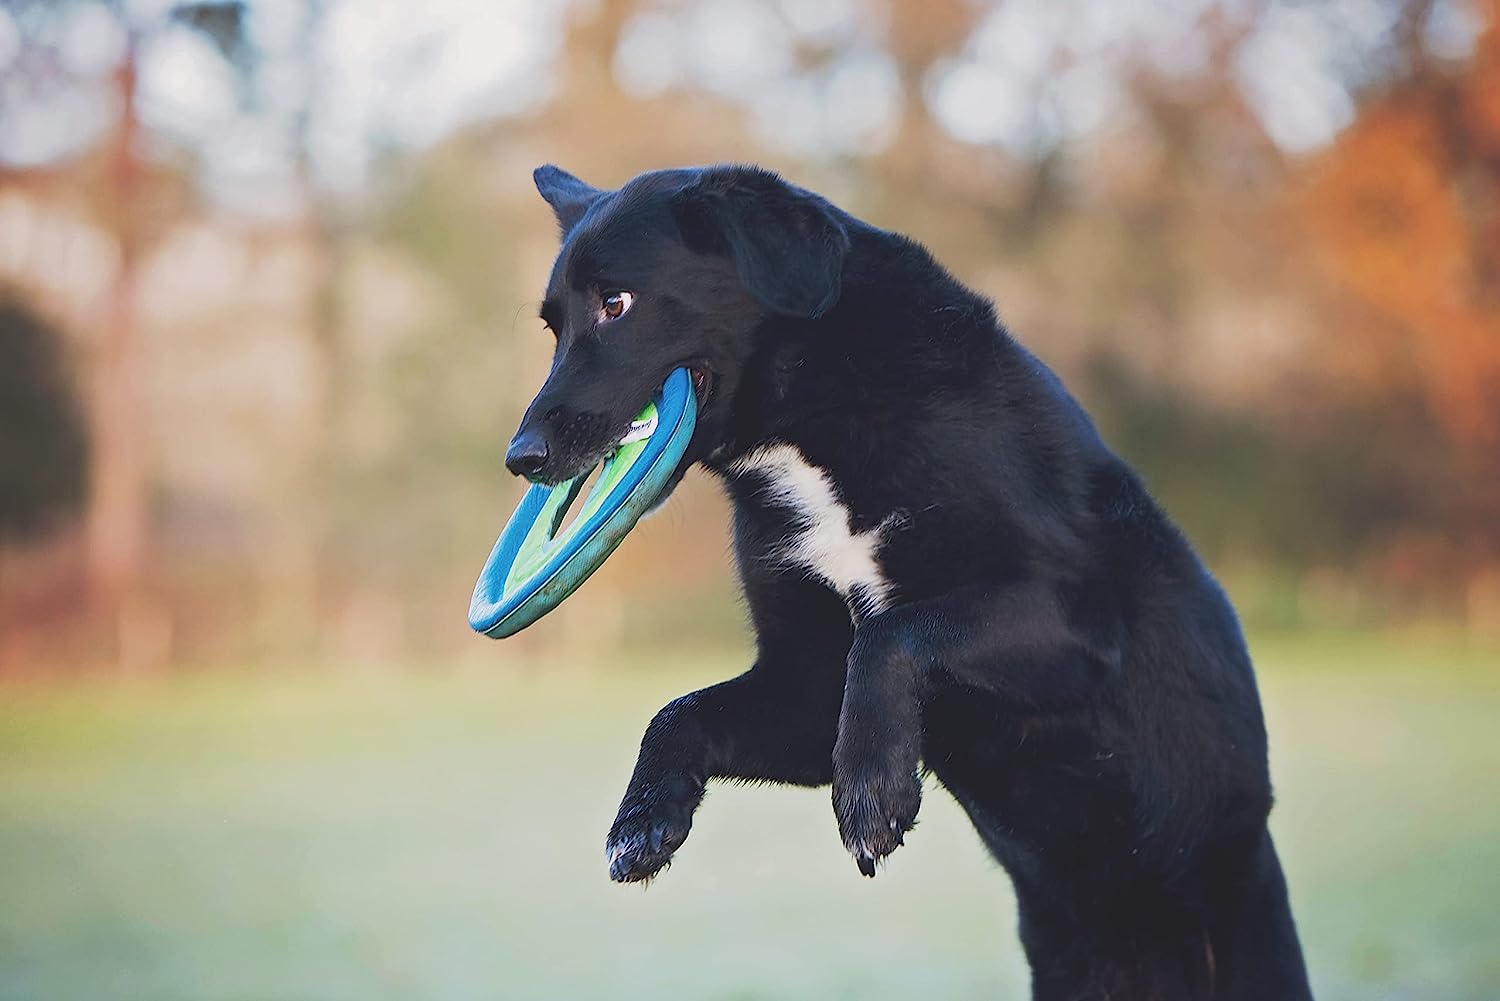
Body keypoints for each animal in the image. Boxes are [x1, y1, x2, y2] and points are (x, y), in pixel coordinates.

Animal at [510, 166, 1308, 1001]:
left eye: (617, 304)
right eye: (553, 328)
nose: (521, 457)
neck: (817, 418)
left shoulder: (1076, 625)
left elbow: (893, 630)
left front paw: (872, 790)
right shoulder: (804, 693)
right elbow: (677, 711)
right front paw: (642, 820)